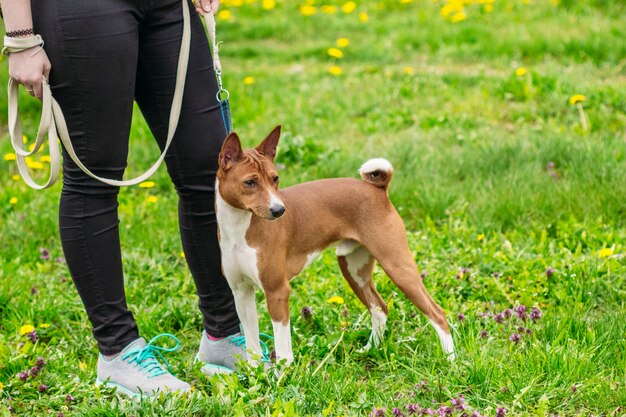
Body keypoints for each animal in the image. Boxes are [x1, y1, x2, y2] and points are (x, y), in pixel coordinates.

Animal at [214, 126, 454, 364]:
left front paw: (283, 373)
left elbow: (283, 350)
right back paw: (369, 350)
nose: (279, 210)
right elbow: (252, 345)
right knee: (379, 309)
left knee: (437, 313)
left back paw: (450, 360)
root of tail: (377, 188)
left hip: (398, 267)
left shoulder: (277, 291)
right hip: (353, 270)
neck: (238, 229)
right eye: (250, 182)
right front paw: (255, 372)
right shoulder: (241, 292)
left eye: (275, 178)